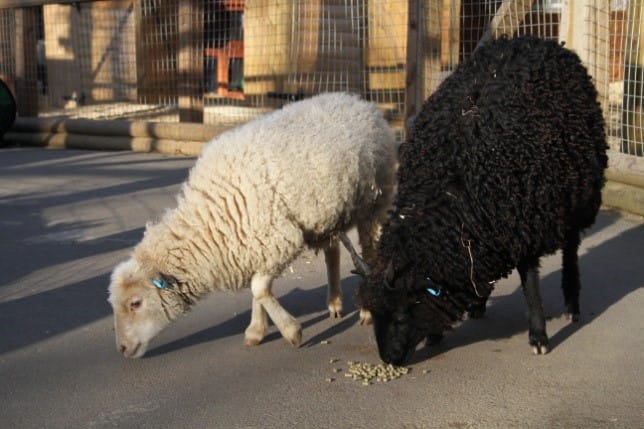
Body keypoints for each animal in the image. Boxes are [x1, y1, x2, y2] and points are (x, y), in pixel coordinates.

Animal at [108, 92, 398, 358]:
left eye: (135, 303)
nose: (122, 349)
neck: (210, 221)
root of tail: (358, 101)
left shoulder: (279, 239)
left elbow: (259, 288)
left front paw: (291, 331)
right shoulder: (253, 245)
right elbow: (258, 290)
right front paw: (256, 331)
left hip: (374, 203)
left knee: (370, 253)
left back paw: (367, 310)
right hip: (327, 214)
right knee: (333, 252)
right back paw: (334, 302)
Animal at [352, 36, 608, 365]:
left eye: (401, 315)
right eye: (375, 315)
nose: (389, 360)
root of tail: (539, 40)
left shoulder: (521, 224)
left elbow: (531, 284)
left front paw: (538, 336)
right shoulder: (488, 230)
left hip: (579, 195)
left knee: (571, 248)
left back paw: (572, 304)